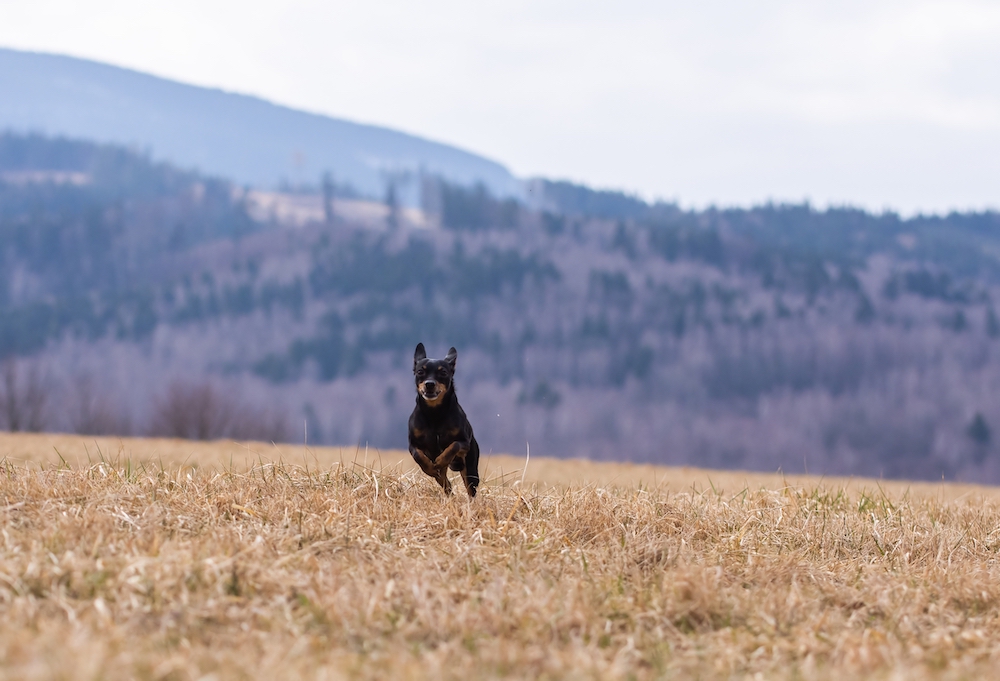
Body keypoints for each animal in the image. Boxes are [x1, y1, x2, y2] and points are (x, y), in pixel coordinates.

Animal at [408, 342, 482, 496]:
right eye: (420, 372)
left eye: (443, 373)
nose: (429, 384)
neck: (434, 412)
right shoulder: (413, 444)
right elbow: (418, 456)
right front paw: (429, 468)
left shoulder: (464, 442)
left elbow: (452, 446)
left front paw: (441, 460)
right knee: (445, 483)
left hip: (471, 468)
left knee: (470, 489)